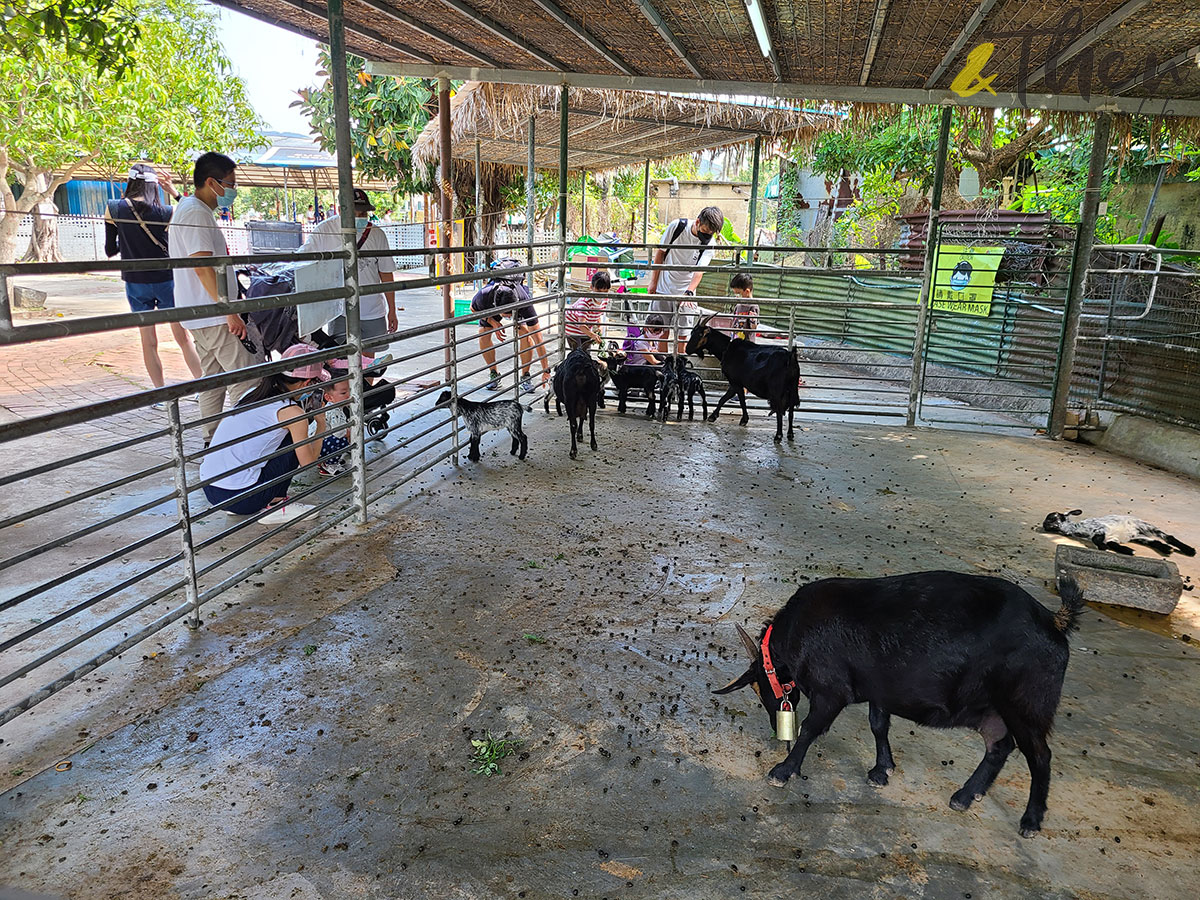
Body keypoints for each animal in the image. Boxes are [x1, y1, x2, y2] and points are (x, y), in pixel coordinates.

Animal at [686, 316, 796, 444]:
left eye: (700, 334)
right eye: (692, 332)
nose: (687, 349)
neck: (726, 348)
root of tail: (790, 359)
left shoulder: (735, 382)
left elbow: (739, 400)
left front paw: (743, 419)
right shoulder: (735, 383)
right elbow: (725, 398)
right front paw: (714, 416)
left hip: (777, 391)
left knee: (779, 410)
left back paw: (778, 436)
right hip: (792, 389)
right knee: (791, 411)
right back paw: (790, 434)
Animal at [715, 571, 1094, 840]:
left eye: (759, 688)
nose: (773, 724)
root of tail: (1053, 621)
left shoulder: (831, 691)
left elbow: (811, 728)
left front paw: (783, 770)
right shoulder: (880, 690)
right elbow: (878, 724)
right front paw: (882, 770)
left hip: (1026, 704)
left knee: (1039, 755)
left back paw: (1030, 819)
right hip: (989, 709)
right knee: (999, 745)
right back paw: (966, 795)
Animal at [1041, 508, 1190, 556]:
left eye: (1052, 517)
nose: (1043, 524)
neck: (1077, 529)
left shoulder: (1101, 529)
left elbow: (1096, 539)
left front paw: (1103, 547)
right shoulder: (1111, 538)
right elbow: (1113, 545)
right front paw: (1129, 551)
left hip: (1146, 526)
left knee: (1168, 536)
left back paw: (1189, 550)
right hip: (1138, 536)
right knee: (1154, 542)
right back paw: (1167, 549)